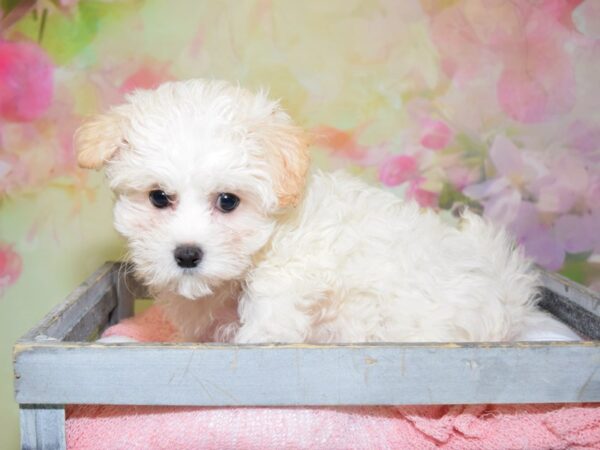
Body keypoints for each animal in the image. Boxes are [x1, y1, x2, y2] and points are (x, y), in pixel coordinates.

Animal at [75, 79, 576, 342]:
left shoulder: (292, 276)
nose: (187, 254)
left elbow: (269, 322)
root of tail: (508, 294)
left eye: (228, 201)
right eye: (159, 198)